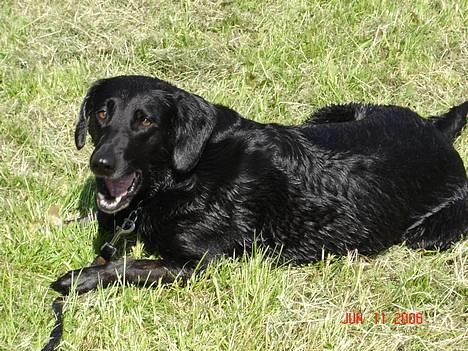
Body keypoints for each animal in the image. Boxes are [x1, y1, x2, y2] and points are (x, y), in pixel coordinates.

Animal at [50, 75, 464, 296]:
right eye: (101, 113)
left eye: (145, 121)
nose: (100, 163)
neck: (186, 172)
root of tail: (437, 131)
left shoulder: (194, 264)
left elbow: (127, 264)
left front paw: (79, 278)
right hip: (330, 112)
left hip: (429, 234)